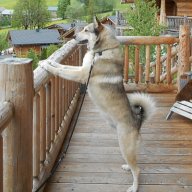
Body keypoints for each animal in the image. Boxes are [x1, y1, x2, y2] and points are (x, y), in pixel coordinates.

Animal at [39, 16, 155, 192]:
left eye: (86, 30)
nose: (73, 37)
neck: (101, 51)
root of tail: (138, 121)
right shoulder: (81, 69)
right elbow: (62, 65)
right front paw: (47, 61)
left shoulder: (81, 74)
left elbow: (61, 70)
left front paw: (46, 65)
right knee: (134, 165)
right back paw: (127, 167)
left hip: (124, 146)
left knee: (138, 170)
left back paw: (134, 187)